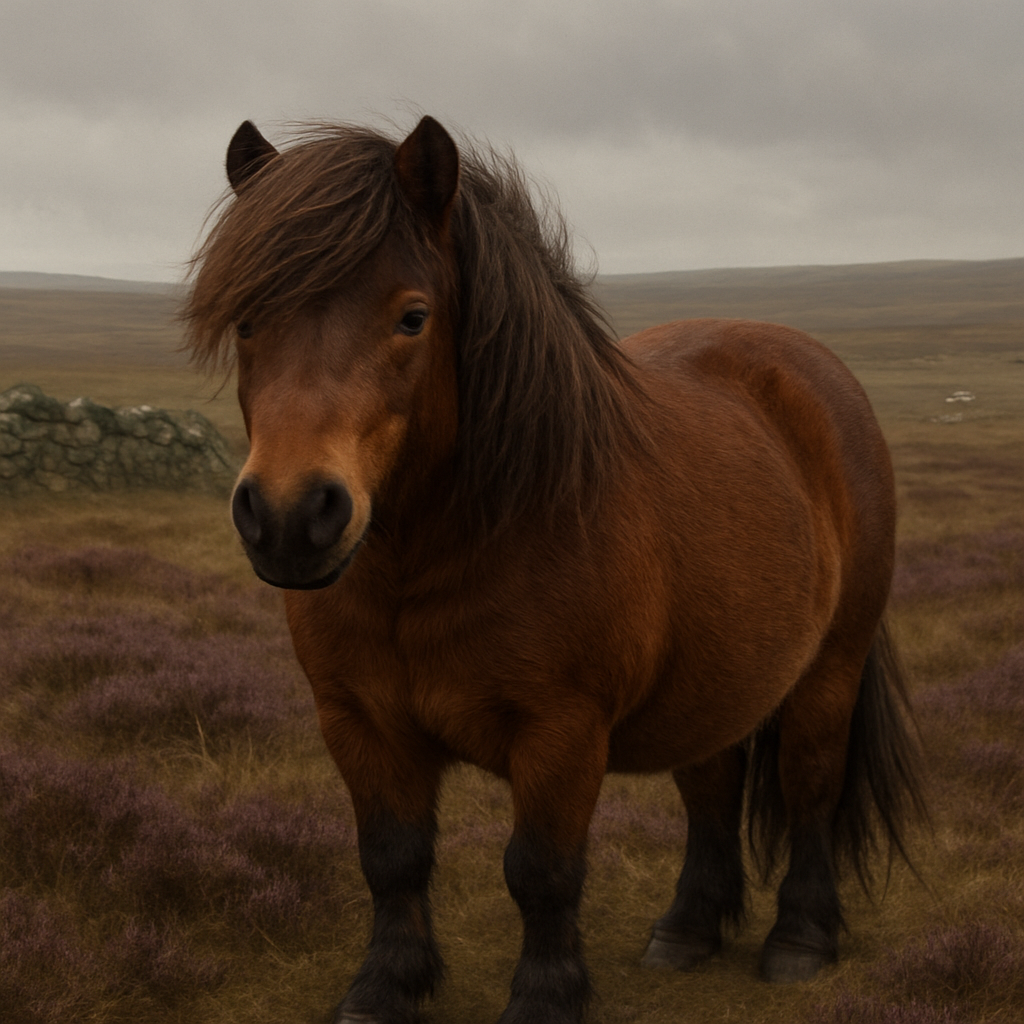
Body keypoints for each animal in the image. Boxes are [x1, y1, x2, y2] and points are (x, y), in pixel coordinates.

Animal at [184, 115, 925, 1024]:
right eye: (248, 321)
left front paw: (544, 998)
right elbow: (392, 857)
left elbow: (541, 872)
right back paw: (687, 930)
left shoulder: (561, 732)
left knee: (811, 783)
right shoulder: (358, 720)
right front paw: (384, 987)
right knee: (711, 788)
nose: (290, 517)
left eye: (413, 317)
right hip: (714, 677)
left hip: (829, 669)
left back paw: (800, 941)